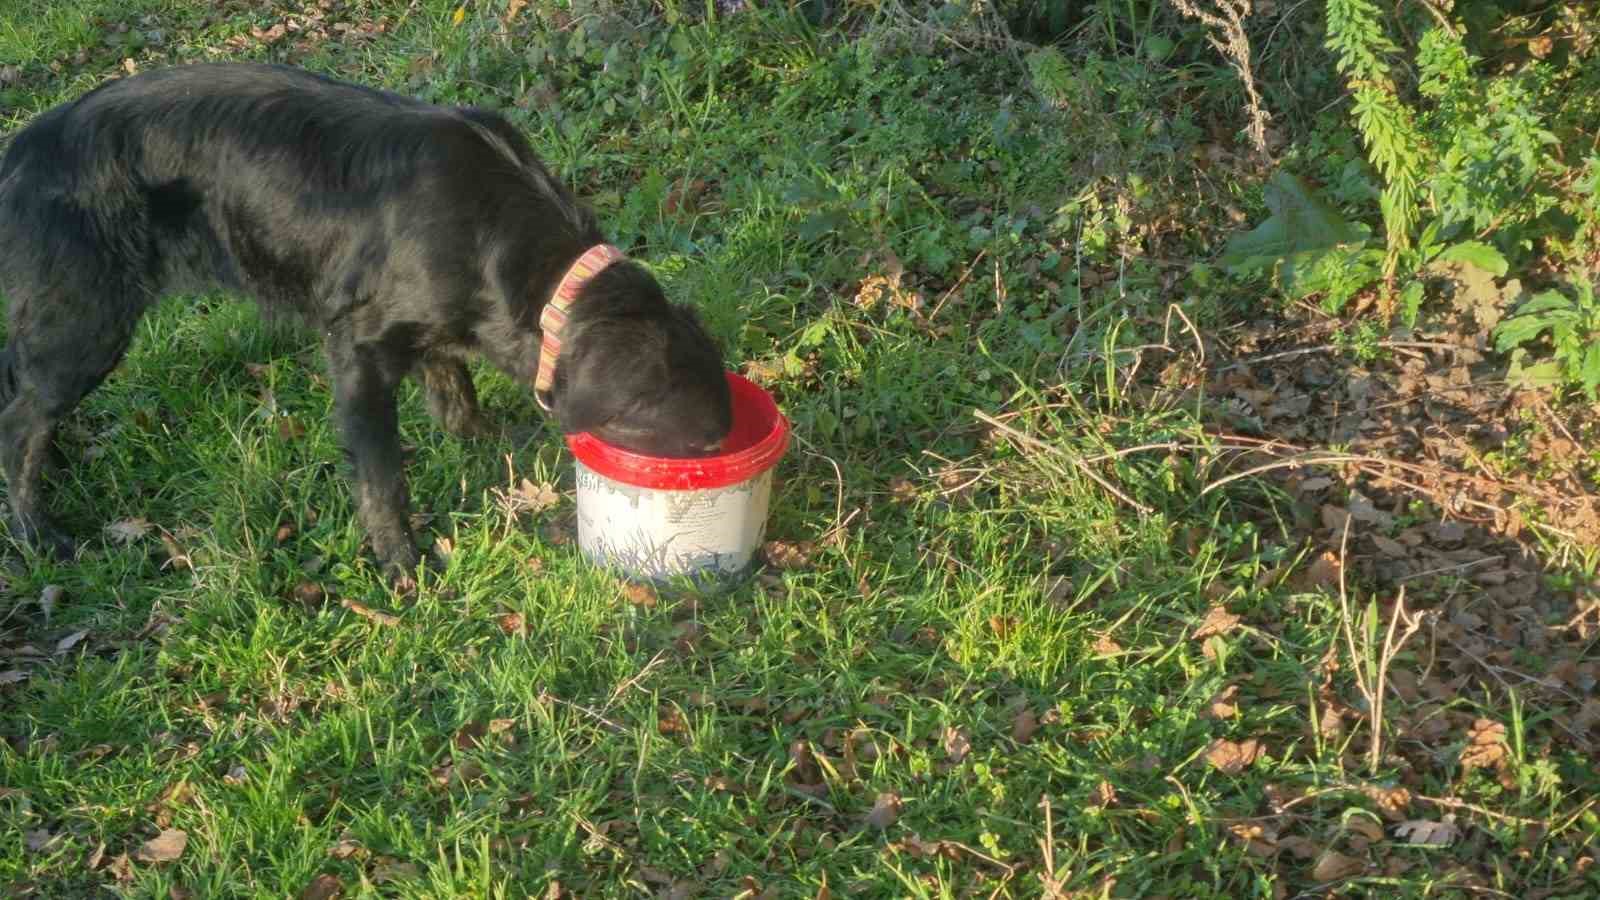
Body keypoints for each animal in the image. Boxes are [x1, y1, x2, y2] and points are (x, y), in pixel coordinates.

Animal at [0, 61, 732, 582]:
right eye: (700, 447)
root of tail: (21, 151)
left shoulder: (434, 325)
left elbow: (453, 385)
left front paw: (482, 439)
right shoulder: (356, 347)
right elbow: (382, 473)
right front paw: (402, 564)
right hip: (84, 325)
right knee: (19, 422)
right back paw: (41, 536)